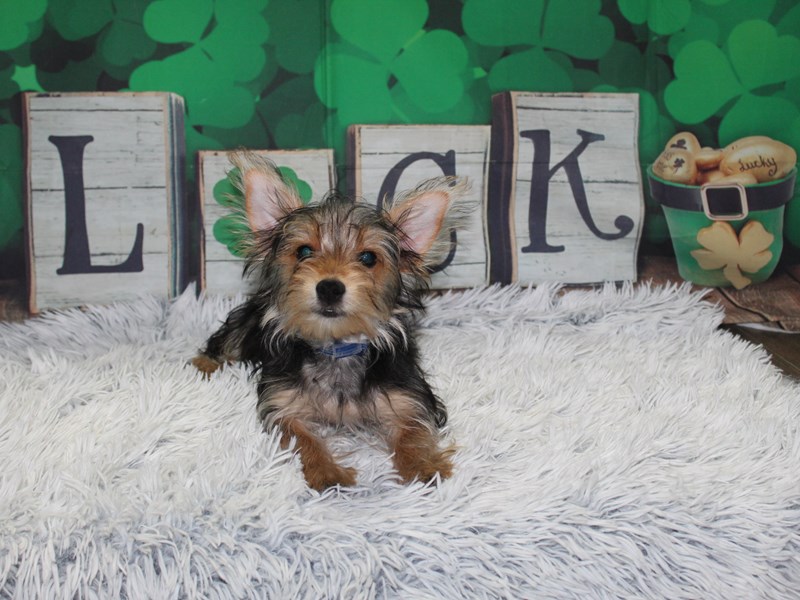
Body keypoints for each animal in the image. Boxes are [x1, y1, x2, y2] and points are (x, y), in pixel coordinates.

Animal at [193, 153, 469, 490]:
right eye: (304, 251)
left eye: (368, 258)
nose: (329, 287)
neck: (337, 346)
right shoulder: (284, 404)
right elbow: (301, 437)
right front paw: (326, 472)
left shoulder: (408, 396)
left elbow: (413, 430)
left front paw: (422, 466)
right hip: (249, 320)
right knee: (226, 340)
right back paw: (204, 365)